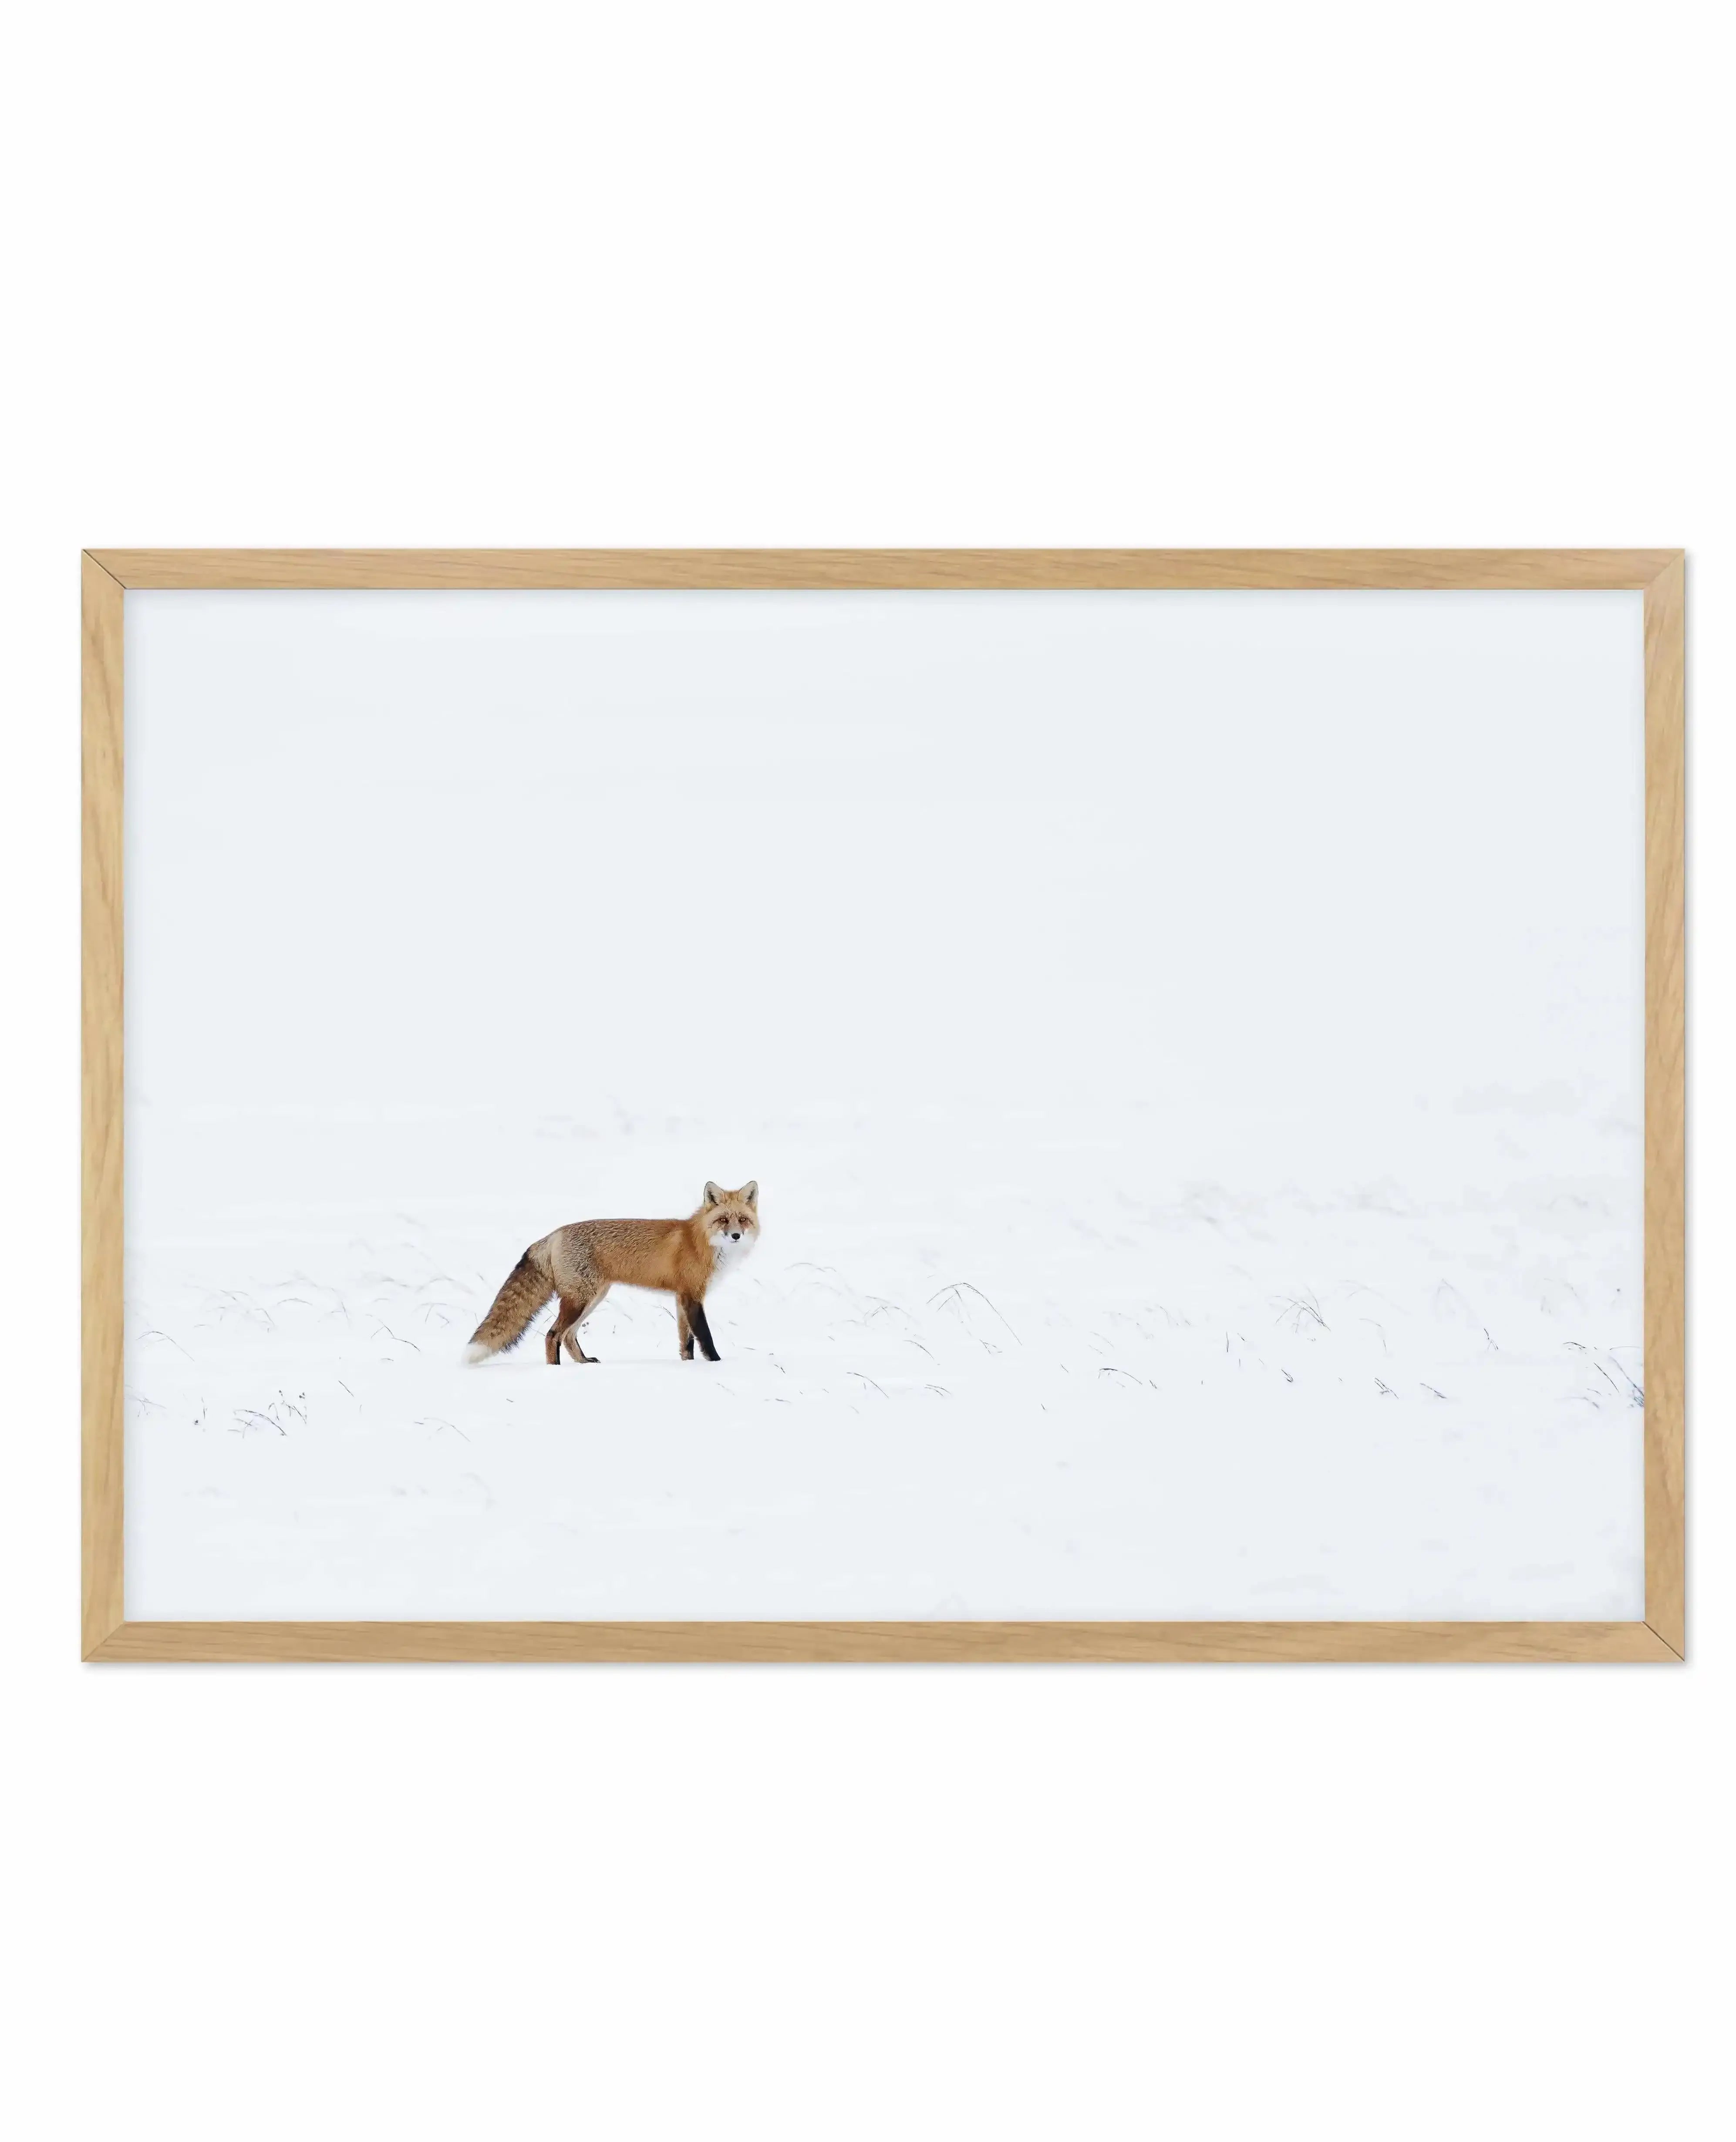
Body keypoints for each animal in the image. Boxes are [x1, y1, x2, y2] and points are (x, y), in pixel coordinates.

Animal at [464, 1181, 760, 1366]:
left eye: (743, 1220)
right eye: (723, 1220)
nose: (735, 1236)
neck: (702, 1241)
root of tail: (554, 1234)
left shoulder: (681, 1298)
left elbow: (685, 1342)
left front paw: (689, 1367)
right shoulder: (692, 1296)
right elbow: (705, 1338)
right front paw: (716, 1364)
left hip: (593, 1298)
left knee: (567, 1336)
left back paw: (584, 1363)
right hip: (581, 1299)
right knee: (552, 1335)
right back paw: (555, 1371)